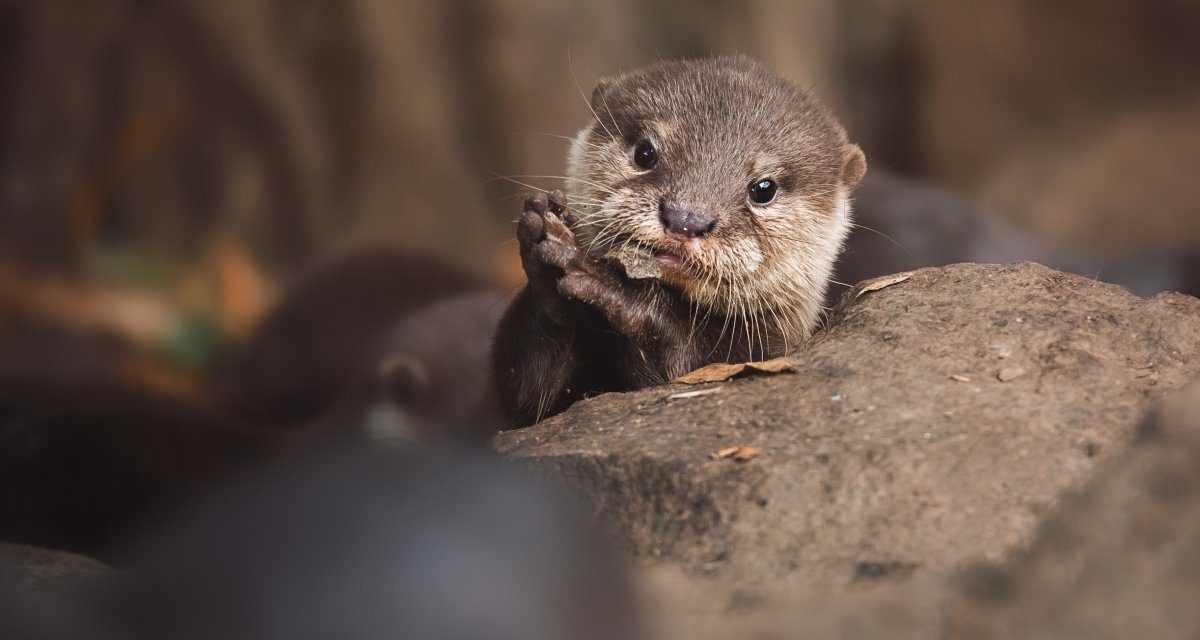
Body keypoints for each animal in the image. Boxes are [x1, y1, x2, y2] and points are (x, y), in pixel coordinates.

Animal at [491, 56, 866, 426]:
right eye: (645, 153)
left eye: (764, 188)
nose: (685, 218)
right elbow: (525, 395)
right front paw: (547, 254)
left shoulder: (769, 346)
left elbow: (688, 362)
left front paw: (611, 285)